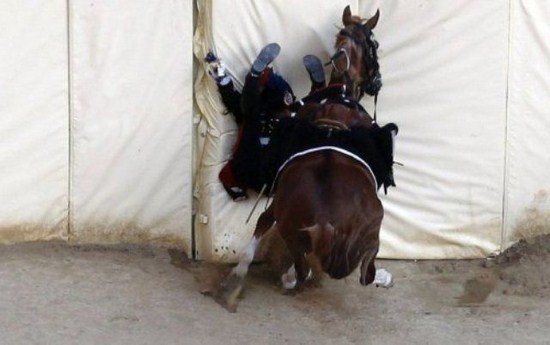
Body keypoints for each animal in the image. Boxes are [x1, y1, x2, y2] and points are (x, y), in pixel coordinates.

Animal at [211, 4, 396, 312]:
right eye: (376, 44)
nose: (378, 82)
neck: (339, 97)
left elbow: (263, 221)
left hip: (286, 210)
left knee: (271, 229)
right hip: (370, 227)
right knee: (352, 271)